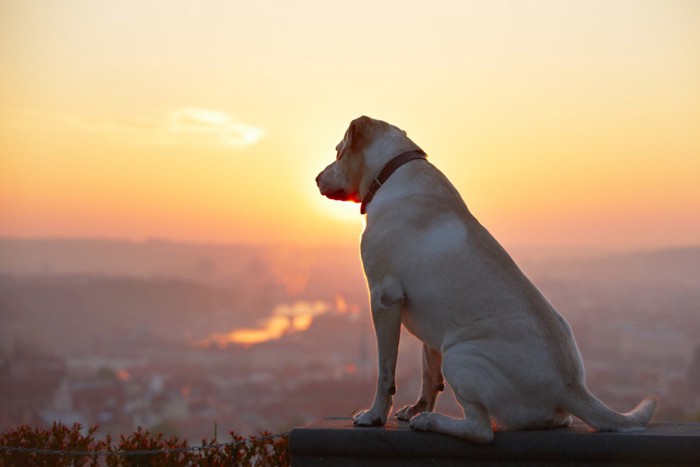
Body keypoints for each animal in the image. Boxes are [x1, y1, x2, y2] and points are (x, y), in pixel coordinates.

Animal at [318, 116, 656, 442]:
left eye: (337, 151)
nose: (317, 178)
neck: (391, 173)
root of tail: (571, 387)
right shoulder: (431, 324)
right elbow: (429, 374)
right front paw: (416, 407)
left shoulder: (384, 299)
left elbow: (385, 371)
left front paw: (376, 415)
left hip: (460, 355)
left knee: (480, 430)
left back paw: (431, 422)